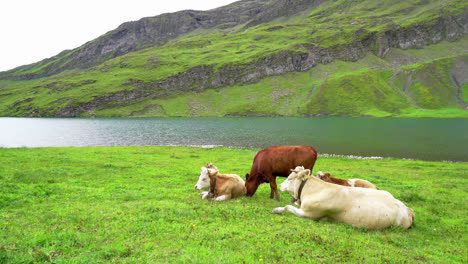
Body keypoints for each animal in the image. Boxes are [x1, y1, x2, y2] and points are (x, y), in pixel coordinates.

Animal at [272, 167, 414, 229]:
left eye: (290, 178)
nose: (280, 185)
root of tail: (407, 209)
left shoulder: (309, 214)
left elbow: (287, 207)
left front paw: (277, 210)